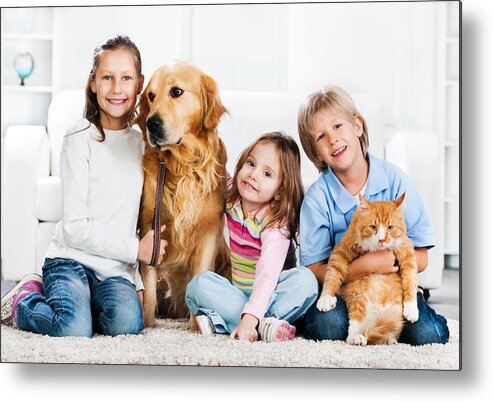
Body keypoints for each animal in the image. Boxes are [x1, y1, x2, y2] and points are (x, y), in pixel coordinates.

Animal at [135, 60, 231, 330]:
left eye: (176, 92)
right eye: (150, 95)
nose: (151, 123)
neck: (181, 166)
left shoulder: (209, 229)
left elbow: (201, 277)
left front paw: (196, 327)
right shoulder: (150, 226)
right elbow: (148, 292)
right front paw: (147, 327)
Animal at [318, 193, 418, 344]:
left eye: (390, 227)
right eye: (373, 227)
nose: (382, 240)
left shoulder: (407, 254)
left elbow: (410, 281)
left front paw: (411, 309)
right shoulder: (341, 251)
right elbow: (332, 274)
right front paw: (326, 298)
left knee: (384, 333)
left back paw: (389, 340)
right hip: (358, 298)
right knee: (355, 328)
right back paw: (357, 338)